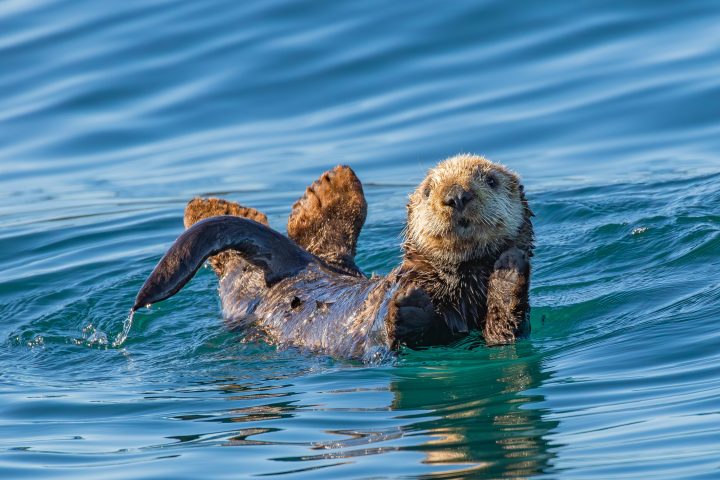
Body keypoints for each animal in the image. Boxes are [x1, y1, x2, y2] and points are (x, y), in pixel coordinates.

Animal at [132, 154, 534, 360]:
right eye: (427, 191)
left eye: (491, 180)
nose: (456, 196)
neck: (457, 284)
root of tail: (296, 264)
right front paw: (411, 301)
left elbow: (503, 332)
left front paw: (509, 271)